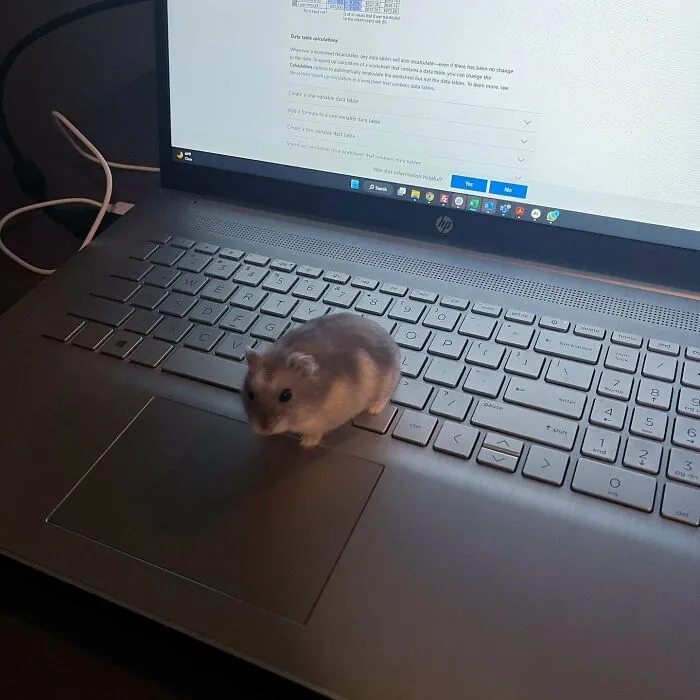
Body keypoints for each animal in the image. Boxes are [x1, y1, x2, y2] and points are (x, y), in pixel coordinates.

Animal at [242, 312, 401, 448]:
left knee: (384, 396)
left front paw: (305, 443)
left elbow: (315, 432)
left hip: (386, 382)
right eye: (250, 394)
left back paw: (373, 410)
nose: (263, 430)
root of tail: (393, 344)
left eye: (286, 395)